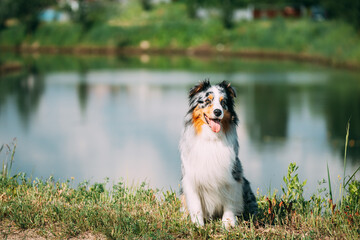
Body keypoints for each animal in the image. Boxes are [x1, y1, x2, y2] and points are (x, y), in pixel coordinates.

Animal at [179, 79, 258, 229]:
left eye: (223, 102)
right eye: (207, 101)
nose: (217, 111)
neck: (212, 137)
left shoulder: (233, 175)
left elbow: (230, 201)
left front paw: (228, 223)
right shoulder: (191, 177)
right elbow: (196, 204)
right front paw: (198, 224)